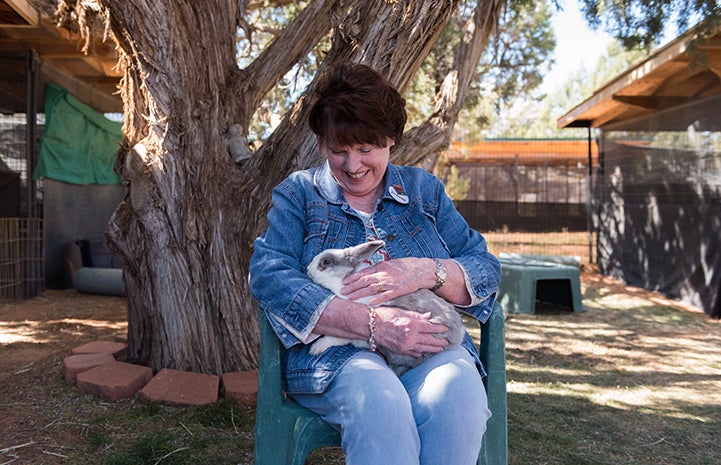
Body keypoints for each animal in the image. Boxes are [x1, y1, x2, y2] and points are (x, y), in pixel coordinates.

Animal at [304, 241, 462, 376]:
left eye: (326, 262)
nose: (307, 269)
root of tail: (459, 336)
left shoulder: (354, 334)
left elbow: (334, 337)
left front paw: (315, 348)